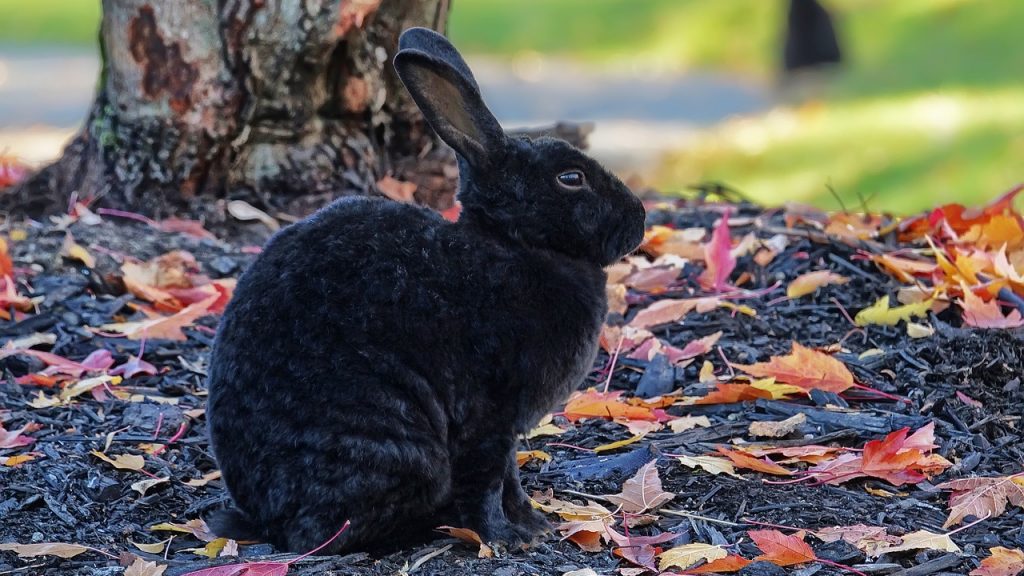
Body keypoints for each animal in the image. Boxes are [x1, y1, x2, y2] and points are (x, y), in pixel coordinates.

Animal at [203, 26, 643, 553]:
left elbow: (511, 478)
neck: (512, 243)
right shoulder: (487, 417)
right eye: (571, 178)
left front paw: (534, 525)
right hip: (400, 449)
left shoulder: (505, 429)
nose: (640, 219)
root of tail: (265, 520)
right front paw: (507, 538)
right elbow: (488, 481)